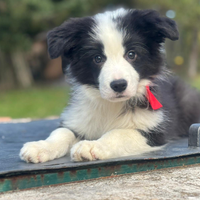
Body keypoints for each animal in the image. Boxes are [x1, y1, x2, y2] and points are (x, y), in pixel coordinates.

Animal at [19, 8, 200, 163]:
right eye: (98, 58)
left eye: (132, 54)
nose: (119, 85)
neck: (111, 105)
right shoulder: (78, 118)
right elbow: (62, 132)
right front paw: (41, 146)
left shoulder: (154, 132)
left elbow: (119, 133)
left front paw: (92, 145)